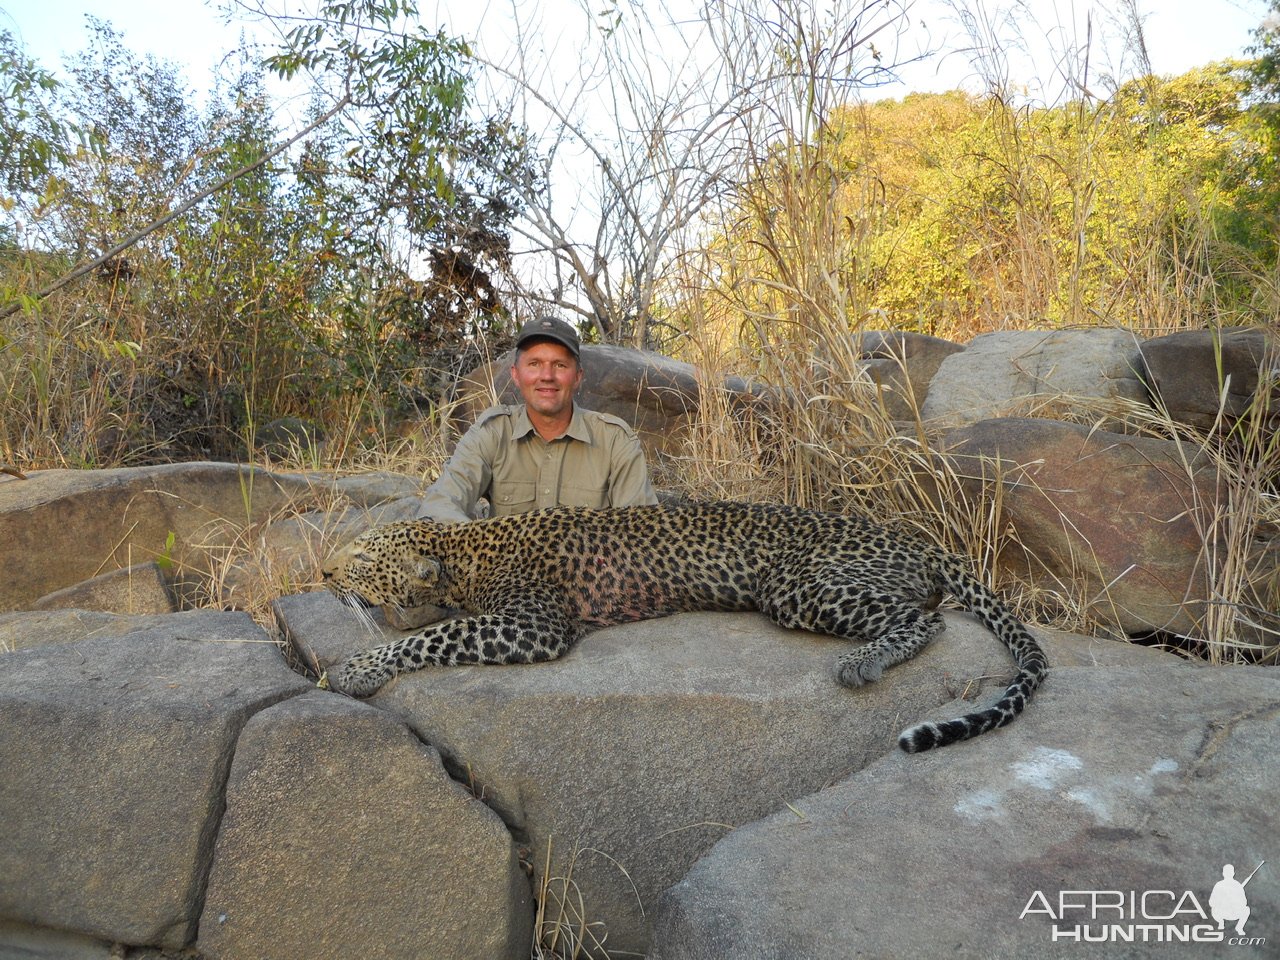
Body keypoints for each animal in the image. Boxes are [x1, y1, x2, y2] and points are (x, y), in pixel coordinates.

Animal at [320, 499, 1049, 757]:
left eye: (361, 558)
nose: (323, 570)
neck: (464, 554)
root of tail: (917, 539)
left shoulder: (536, 626)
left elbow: (433, 637)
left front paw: (358, 668)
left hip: (797, 586)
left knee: (925, 619)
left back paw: (862, 661)